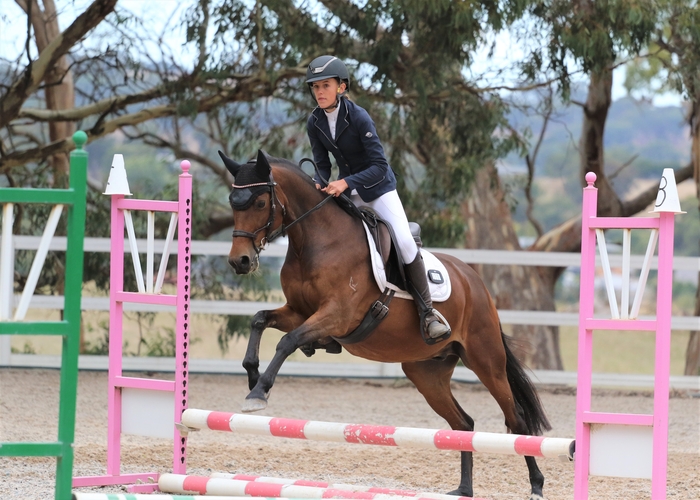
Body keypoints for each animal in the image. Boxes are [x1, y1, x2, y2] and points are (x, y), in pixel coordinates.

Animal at [218, 149, 552, 500]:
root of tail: (475, 281)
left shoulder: (336, 314)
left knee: (516, 421)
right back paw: (463, 488)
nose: (240, 261)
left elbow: (287, 341)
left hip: (485, 360)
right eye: (232, 202)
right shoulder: (298, 311)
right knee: (464, 424)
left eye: (259, 203)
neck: (315, 240)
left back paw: (536, 486)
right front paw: (252, 375)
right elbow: (259, 320)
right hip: (426, 373)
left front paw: (259, 393)